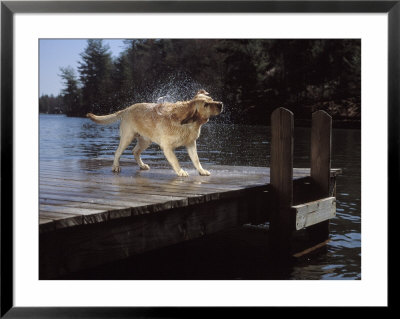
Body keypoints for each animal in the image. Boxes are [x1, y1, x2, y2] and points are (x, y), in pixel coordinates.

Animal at [86, 90, 222, 178]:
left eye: (212, 99)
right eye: (206, 104)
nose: (220, 104)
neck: (188, 123)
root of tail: (127, 109)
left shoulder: (191, 144)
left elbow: (196, 159)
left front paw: (202, 171)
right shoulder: (167, 147)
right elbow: (175, 161)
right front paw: (181, 172)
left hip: (145, 141)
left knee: (135, 151)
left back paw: (142, 165)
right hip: (127, 137)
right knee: (117, 152)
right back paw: (116, 167)